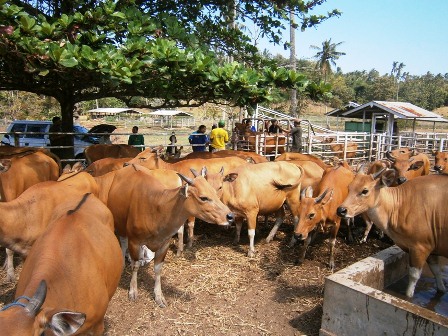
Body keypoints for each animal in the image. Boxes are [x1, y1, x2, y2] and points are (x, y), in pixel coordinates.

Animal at [102, 165, 234, 308]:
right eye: (203, 197)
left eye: (216, 191)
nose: (230, 216)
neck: (157, 209)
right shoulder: (134, 241)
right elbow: (135, 265)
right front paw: (133, 291)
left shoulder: (164, 244)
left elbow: (158, 269)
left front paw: (159, 296)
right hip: (119, 224)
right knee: (123, 241)